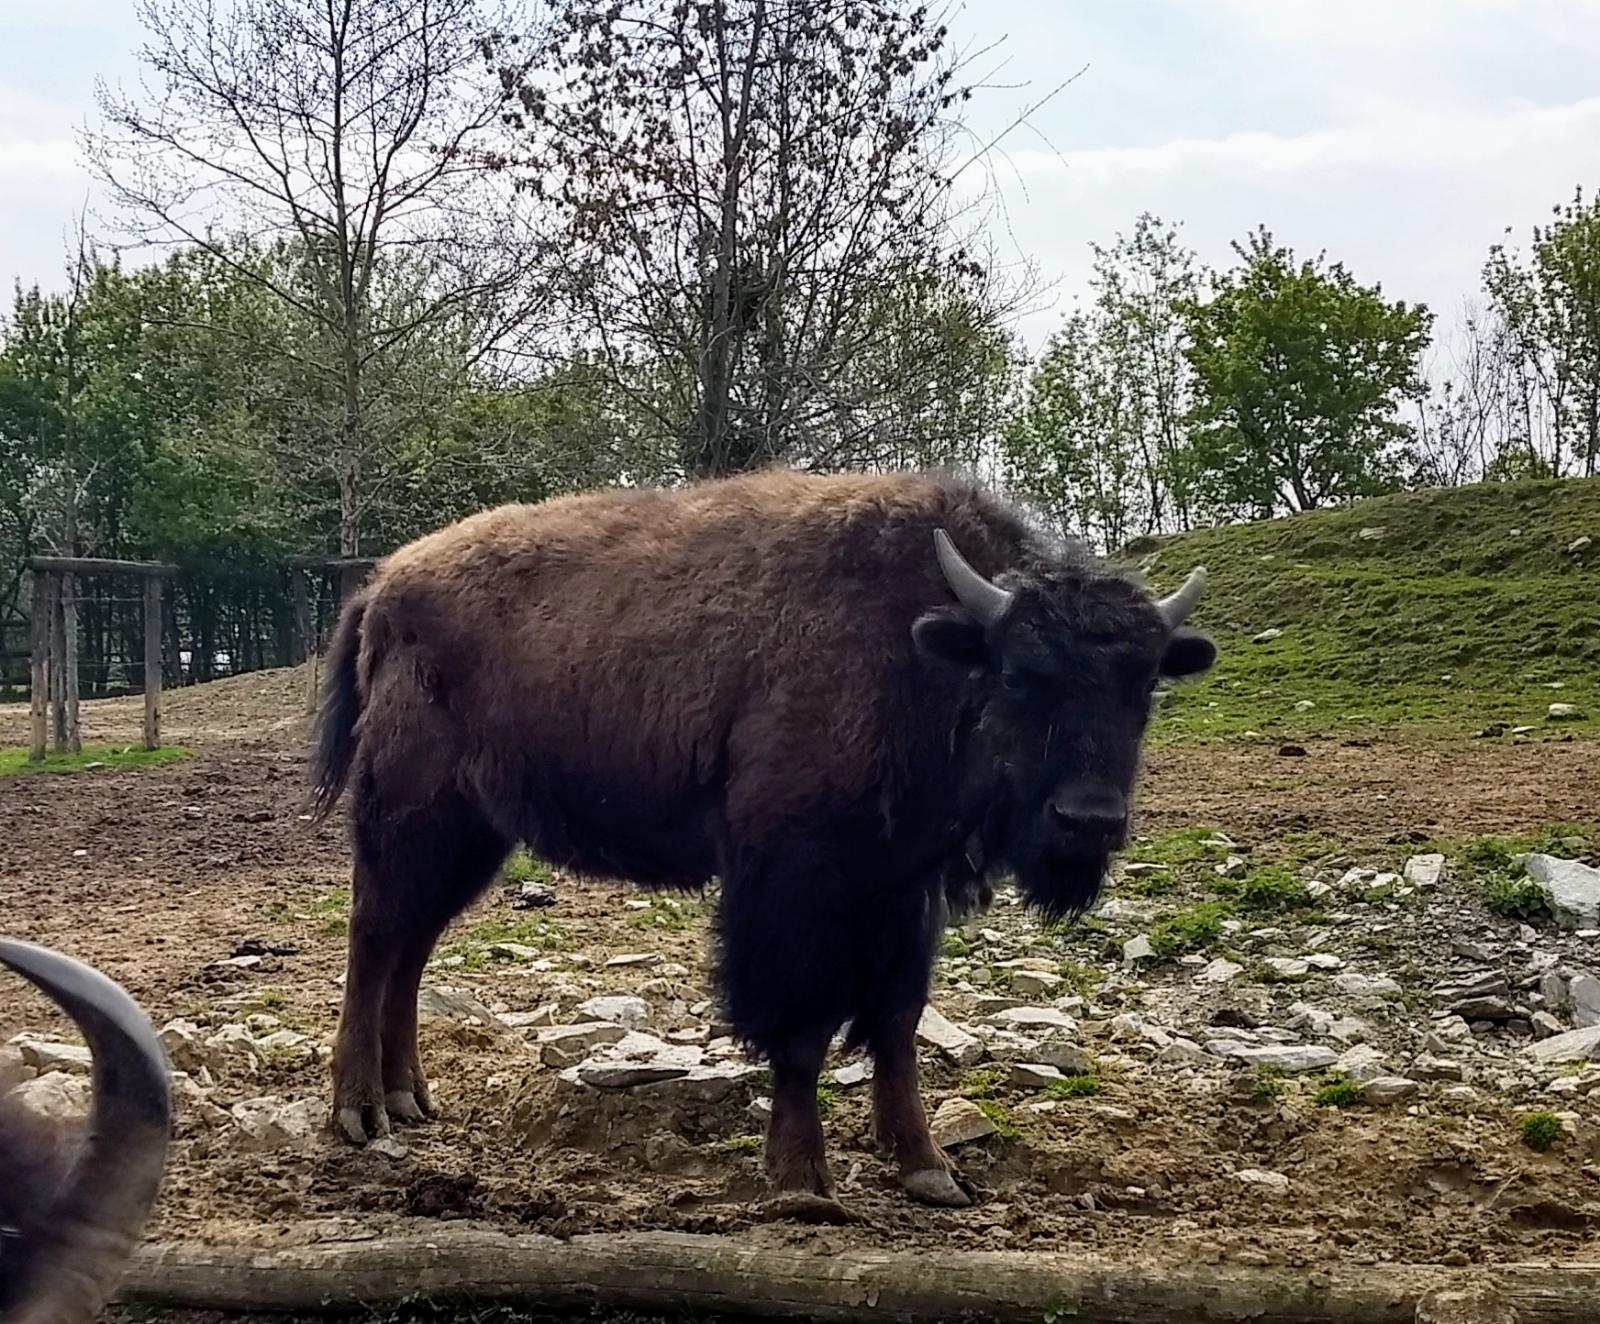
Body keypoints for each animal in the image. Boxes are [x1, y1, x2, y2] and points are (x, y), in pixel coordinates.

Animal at [310, 468, 1214, 1215]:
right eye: (1021, 675)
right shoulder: (796, 885)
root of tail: (384, 585)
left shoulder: (904, 891)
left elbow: (898, 1025)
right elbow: (802, 1028)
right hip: (411, 819)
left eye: (1144, 685)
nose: (1089, 821)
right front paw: (801, 1181)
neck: (923, 650)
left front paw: (928, 1170)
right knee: (374, 937)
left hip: (471, 836)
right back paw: (360, 1113)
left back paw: (409, 1099)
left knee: (410, 947)